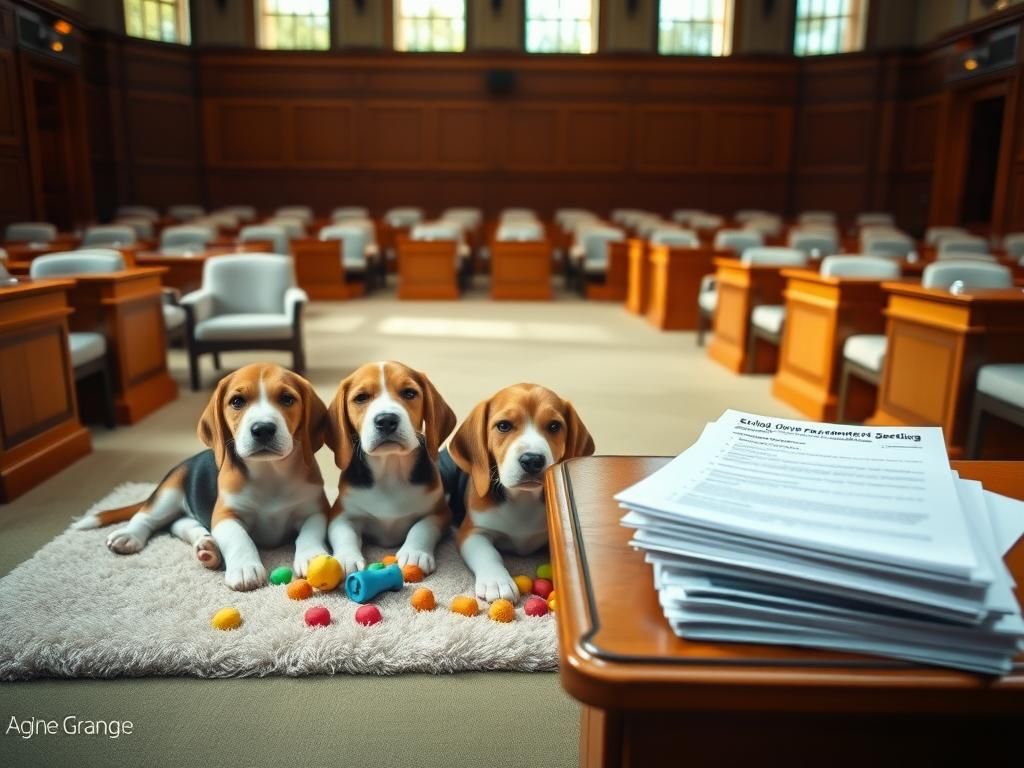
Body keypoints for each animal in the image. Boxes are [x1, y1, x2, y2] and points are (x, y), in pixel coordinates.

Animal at [72, 364, 327, 593]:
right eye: (237, 402)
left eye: (287, 399)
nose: (262, 428)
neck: (270, 473)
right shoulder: (224, 515)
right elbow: (239, 538)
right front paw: (245, 569)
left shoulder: (315, 511)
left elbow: (310, 532)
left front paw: (312, 556)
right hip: (170, 491)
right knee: (147, 517)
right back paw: (128, 536)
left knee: (178, 524)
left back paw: (207, 546)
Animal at [323, 360, 456, 577]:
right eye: (361, 398)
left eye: (409, 393)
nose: (386, 420)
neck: (390, 471)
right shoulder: (341, 514)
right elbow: (344, 534)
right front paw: (346, 558)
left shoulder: (439, 512)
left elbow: (422, 527)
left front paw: (414, 553)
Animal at [444, 382, 598, 606]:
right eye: (503, 426)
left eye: (554, 426)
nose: (532, 460)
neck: (523, 499)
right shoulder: (472, 532)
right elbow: (488, 553)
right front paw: (496, 582)